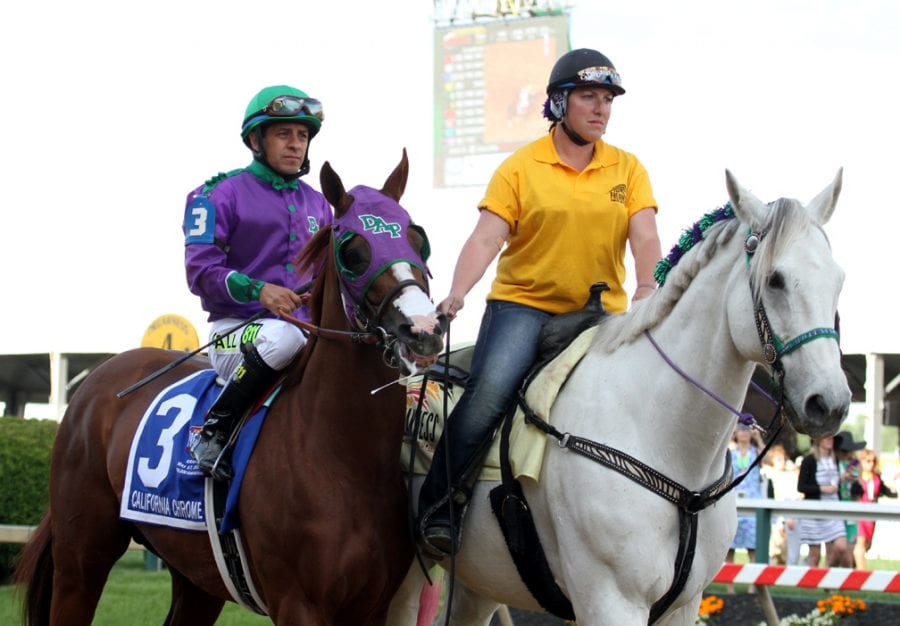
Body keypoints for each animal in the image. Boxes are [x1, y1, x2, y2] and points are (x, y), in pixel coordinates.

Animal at [14, 151, 442, 624]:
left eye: (418, 238)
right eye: (353, 250)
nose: (422, 330)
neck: (344, 458)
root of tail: (96, 381)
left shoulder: (371, 607)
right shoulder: (299, 604)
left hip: (197, 574)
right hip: (82, 558)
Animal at [388, 168, 852, 620]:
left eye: (838, 279)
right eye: (775, 281)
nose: (829, 403)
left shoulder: (684, 605)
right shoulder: (611, 600)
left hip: (483, 582)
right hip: (407, 576)